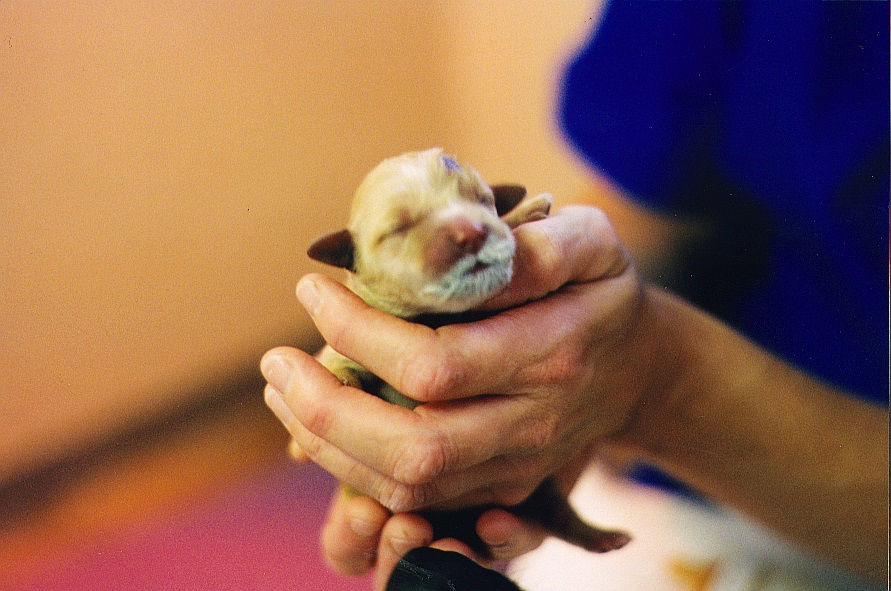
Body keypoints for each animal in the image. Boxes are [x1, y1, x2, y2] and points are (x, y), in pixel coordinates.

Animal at [305, 148, 630, 557]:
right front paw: (344, 379)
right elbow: (339, 361)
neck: (438, 318)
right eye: (400, 228)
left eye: (482, 200)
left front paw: (525, 213)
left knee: (558, 513)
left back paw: (602, 537)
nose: (471, 231)